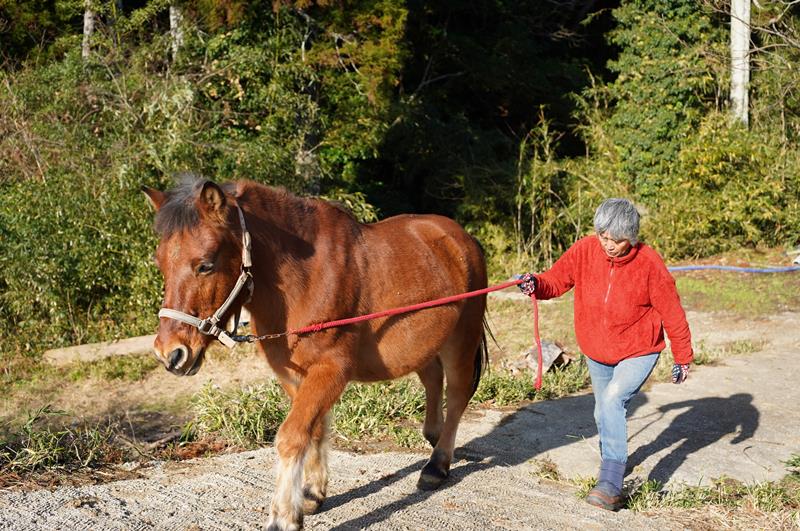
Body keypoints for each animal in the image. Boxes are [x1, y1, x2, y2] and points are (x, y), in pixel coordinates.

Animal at [143, 175, 489, 530]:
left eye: (205, 265)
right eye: (161, 263)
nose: (170, 354)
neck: (308, 279)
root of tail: (462, 239)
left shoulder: (330, 370)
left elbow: (292, 435)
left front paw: (282, 516)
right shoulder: (294, 375)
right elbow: (315, 430)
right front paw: (310, 493)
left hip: (461, 338)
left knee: (458, 393)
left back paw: (437, 465)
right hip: (424, 342)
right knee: (433, 379)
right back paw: (433, 437)